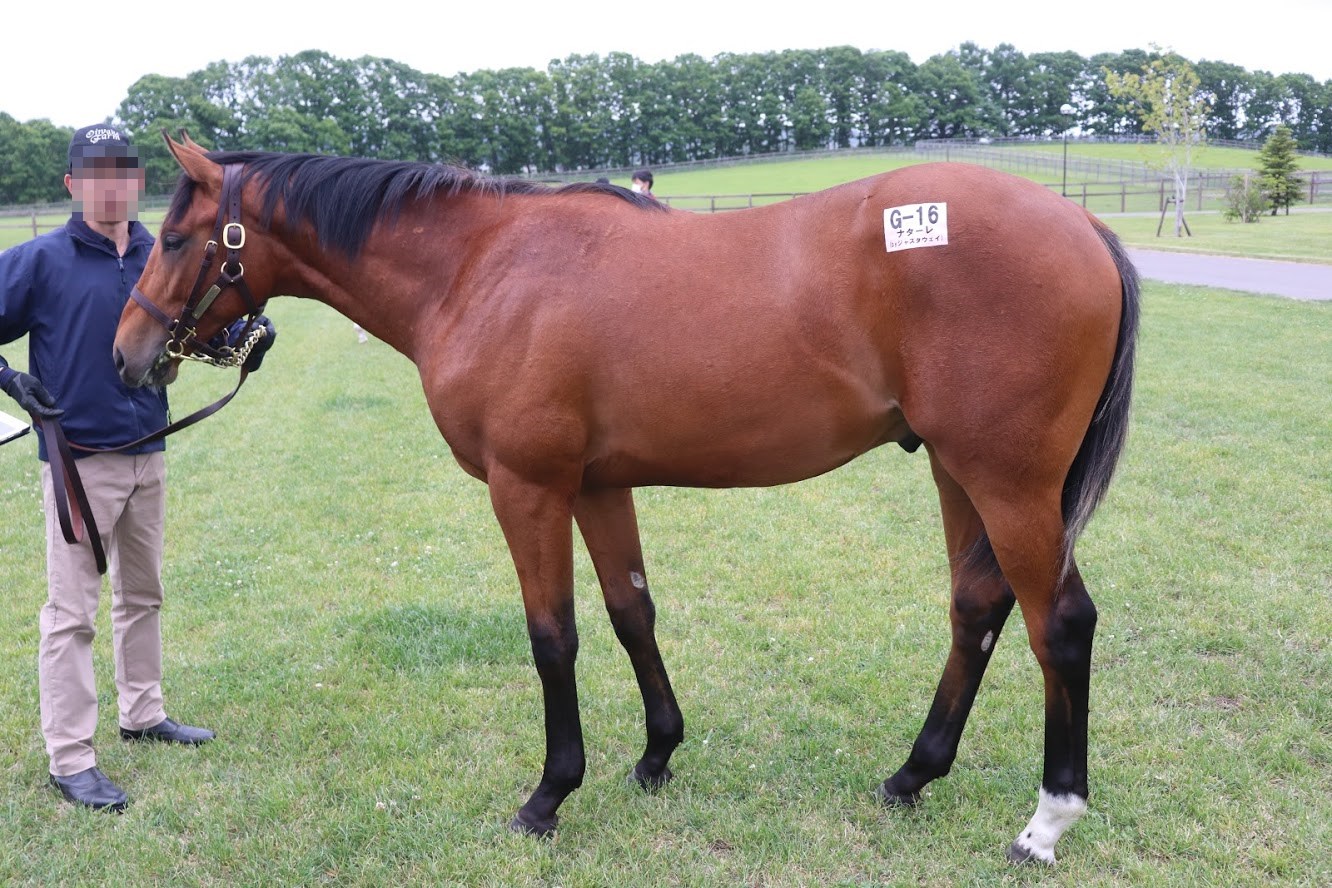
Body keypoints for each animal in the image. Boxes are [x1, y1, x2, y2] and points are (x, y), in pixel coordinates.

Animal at [113, 134, 1138, 864]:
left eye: (175, 238)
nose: (129, 355)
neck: (481, 268)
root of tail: (1085, 228)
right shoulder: (600, 486)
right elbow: (630, 611)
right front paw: (655, 755)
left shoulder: (528, 488)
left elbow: (553, 637)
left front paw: (548, 796)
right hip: (956, 472)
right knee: (977, 607)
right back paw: (911, 777)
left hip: (1007, 482)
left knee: (1061, 624)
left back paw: (1047, 821)